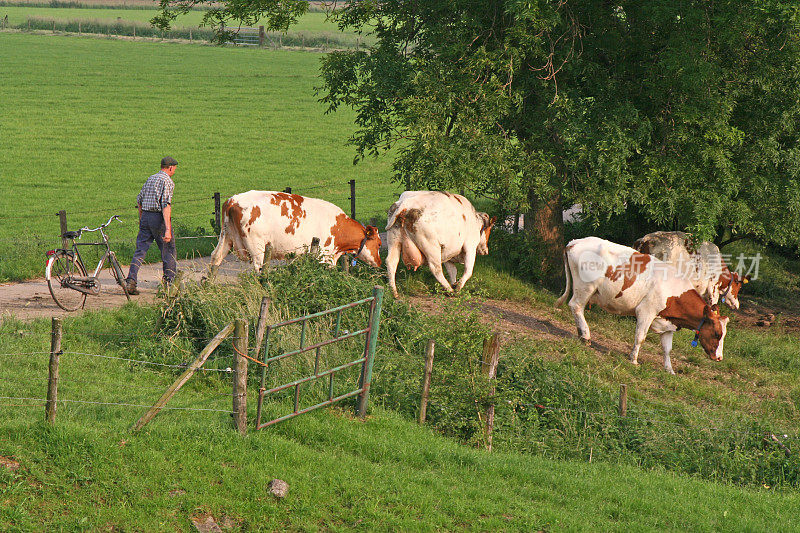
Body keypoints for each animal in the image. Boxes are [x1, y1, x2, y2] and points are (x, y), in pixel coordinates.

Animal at [206, 190, 382, 274]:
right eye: (379, 244)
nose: (380, 263)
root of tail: (233, 200)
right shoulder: (324, 256)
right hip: (256, 247)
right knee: (258, 268)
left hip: (226, 237)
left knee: (215, 259)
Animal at [552, 237, 728, 374]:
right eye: (717, 334)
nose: (719, 358)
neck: (673, 289)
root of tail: (575, 242)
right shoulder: (646, 312)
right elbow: (640, 337)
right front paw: (634, 360)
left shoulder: (668, 324)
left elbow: (667, 349)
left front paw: (669, 370)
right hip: (585, 287)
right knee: (575, 306)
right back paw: (585, 335)